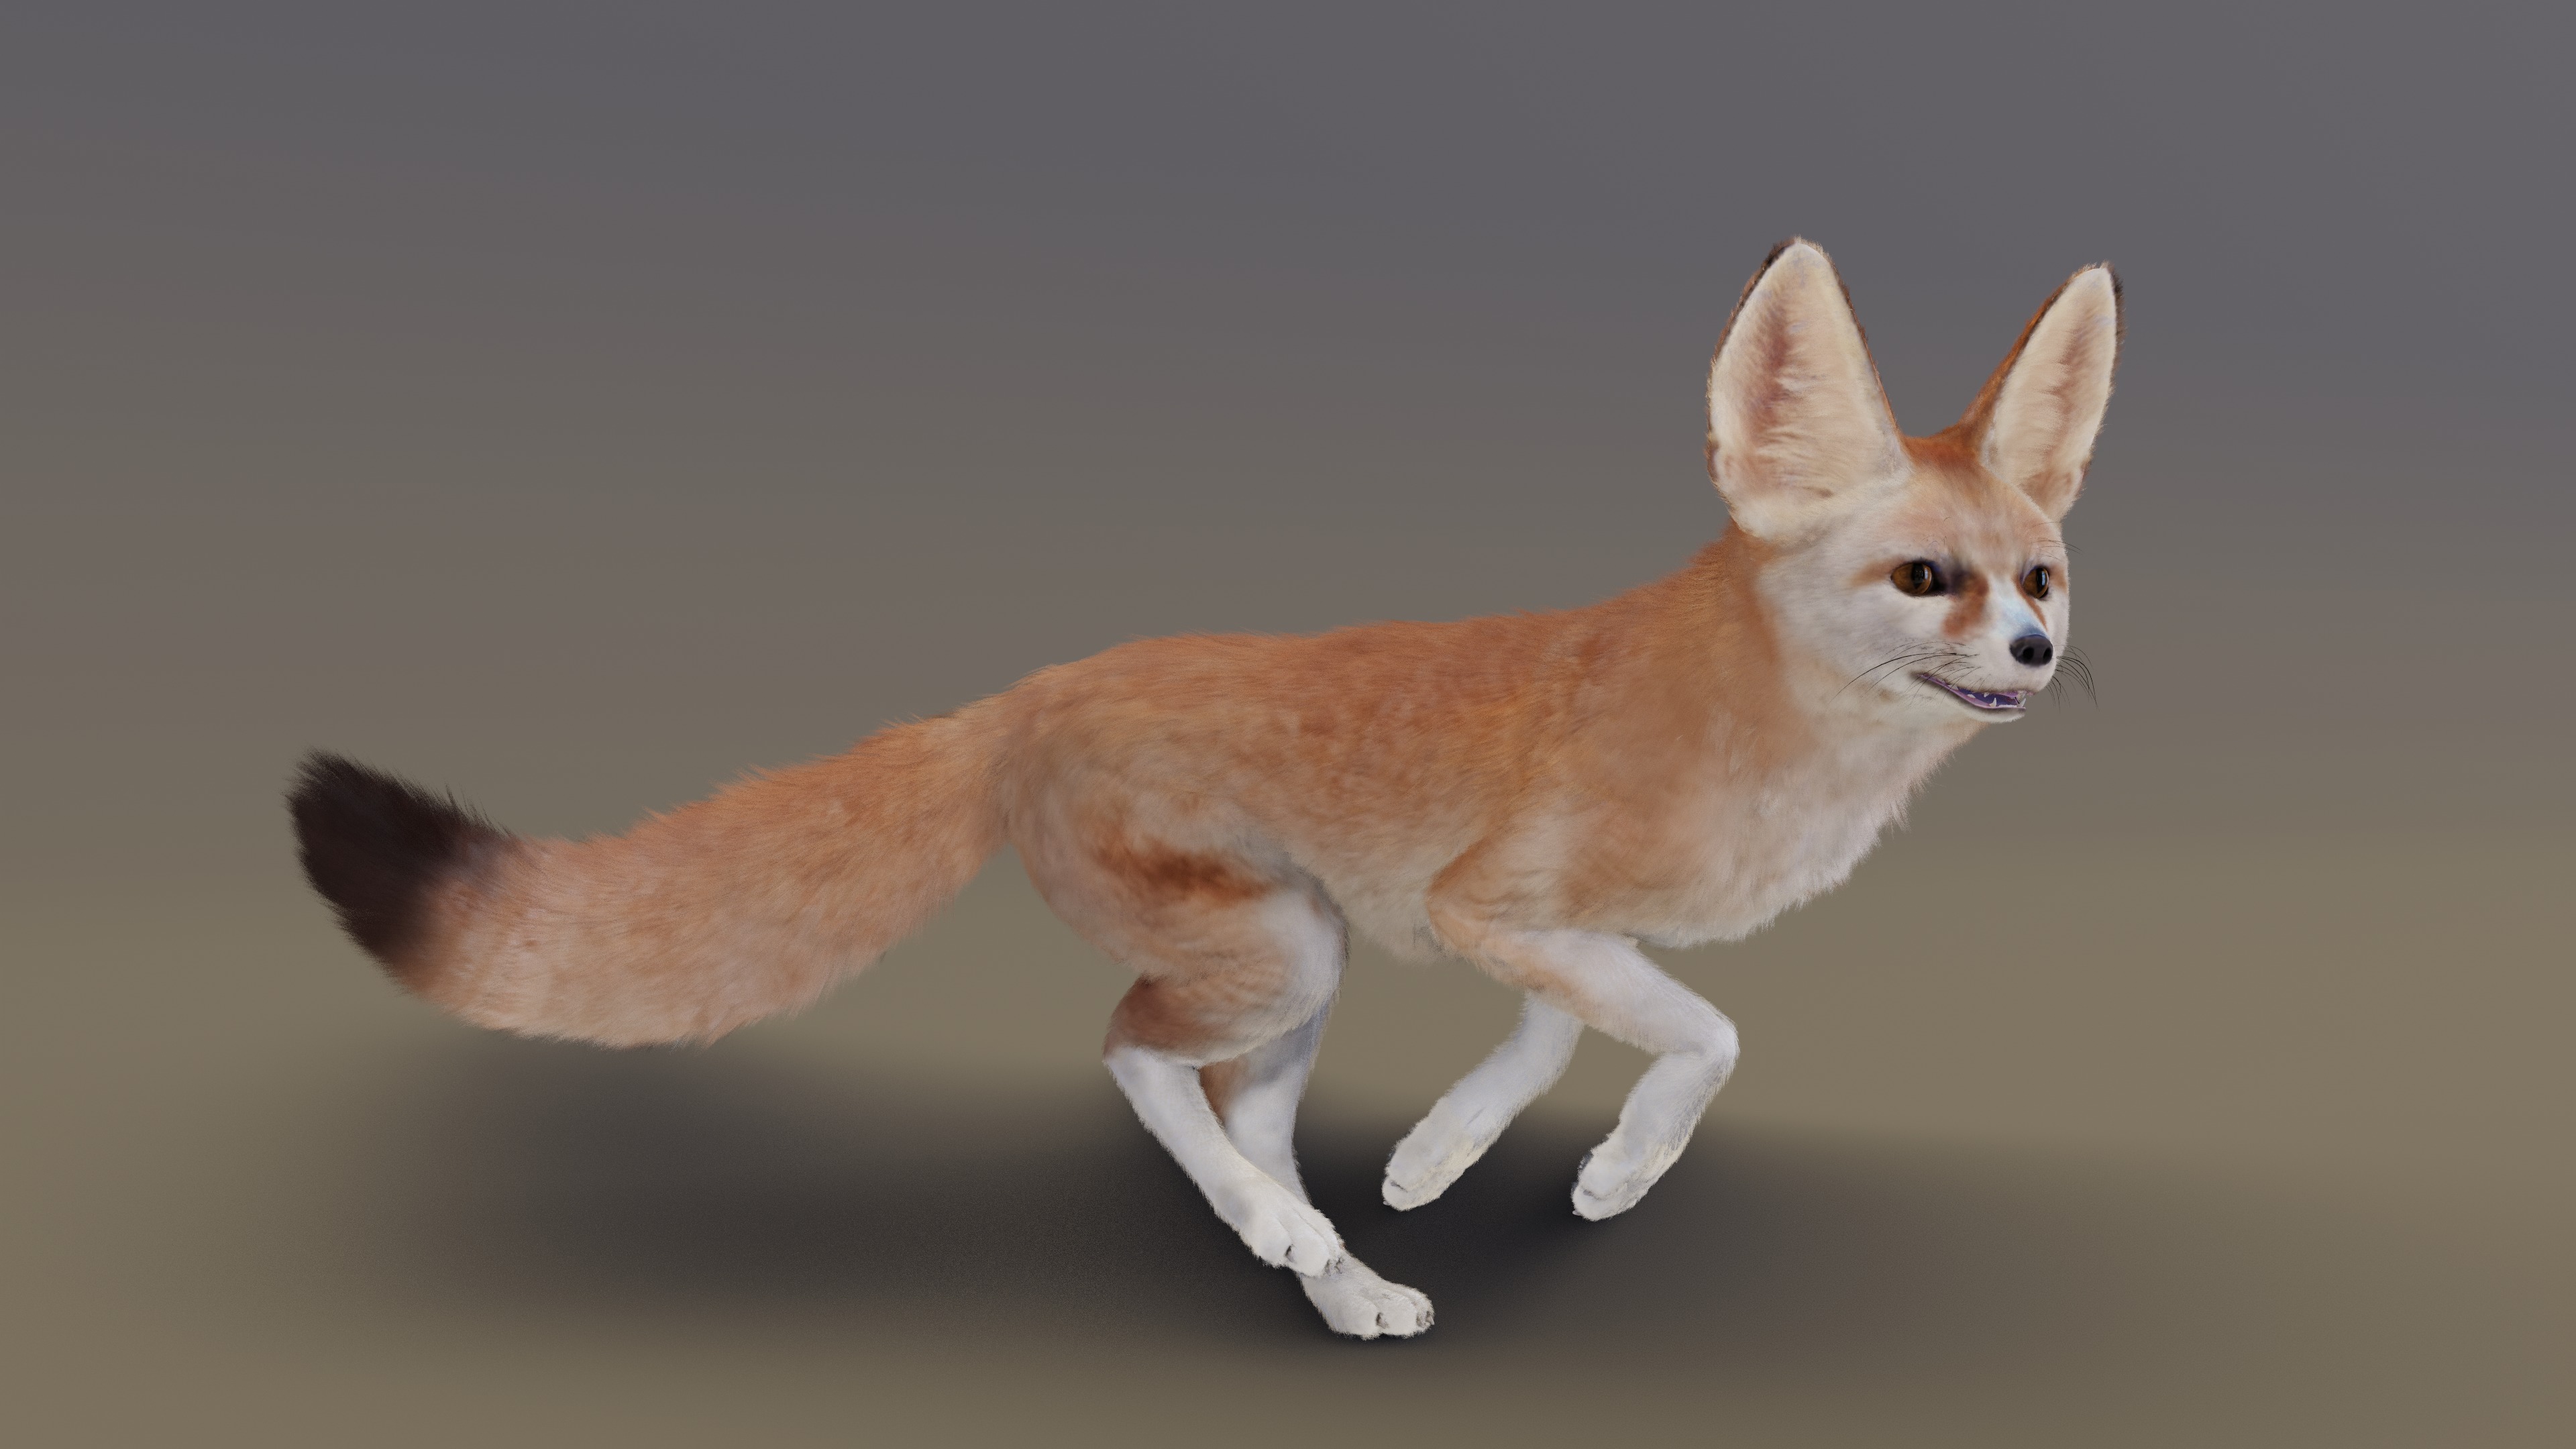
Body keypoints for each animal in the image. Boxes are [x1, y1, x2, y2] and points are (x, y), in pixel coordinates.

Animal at [290, 239, 2120, 1339]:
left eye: (2040, 574)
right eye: (1926, 579)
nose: (2038, 653)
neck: (1750, 719)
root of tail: (1029, 689)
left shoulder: (1521, 925)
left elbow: (1562, 1035)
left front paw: (1445, 1158)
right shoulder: (1490, 903)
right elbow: (1704, 1034)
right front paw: (1613, 1169)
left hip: (1298, 966)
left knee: (1232, 1109)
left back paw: (1334, 1269)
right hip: (1283, 952)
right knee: (1129, 1059)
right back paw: (1282, 1236)